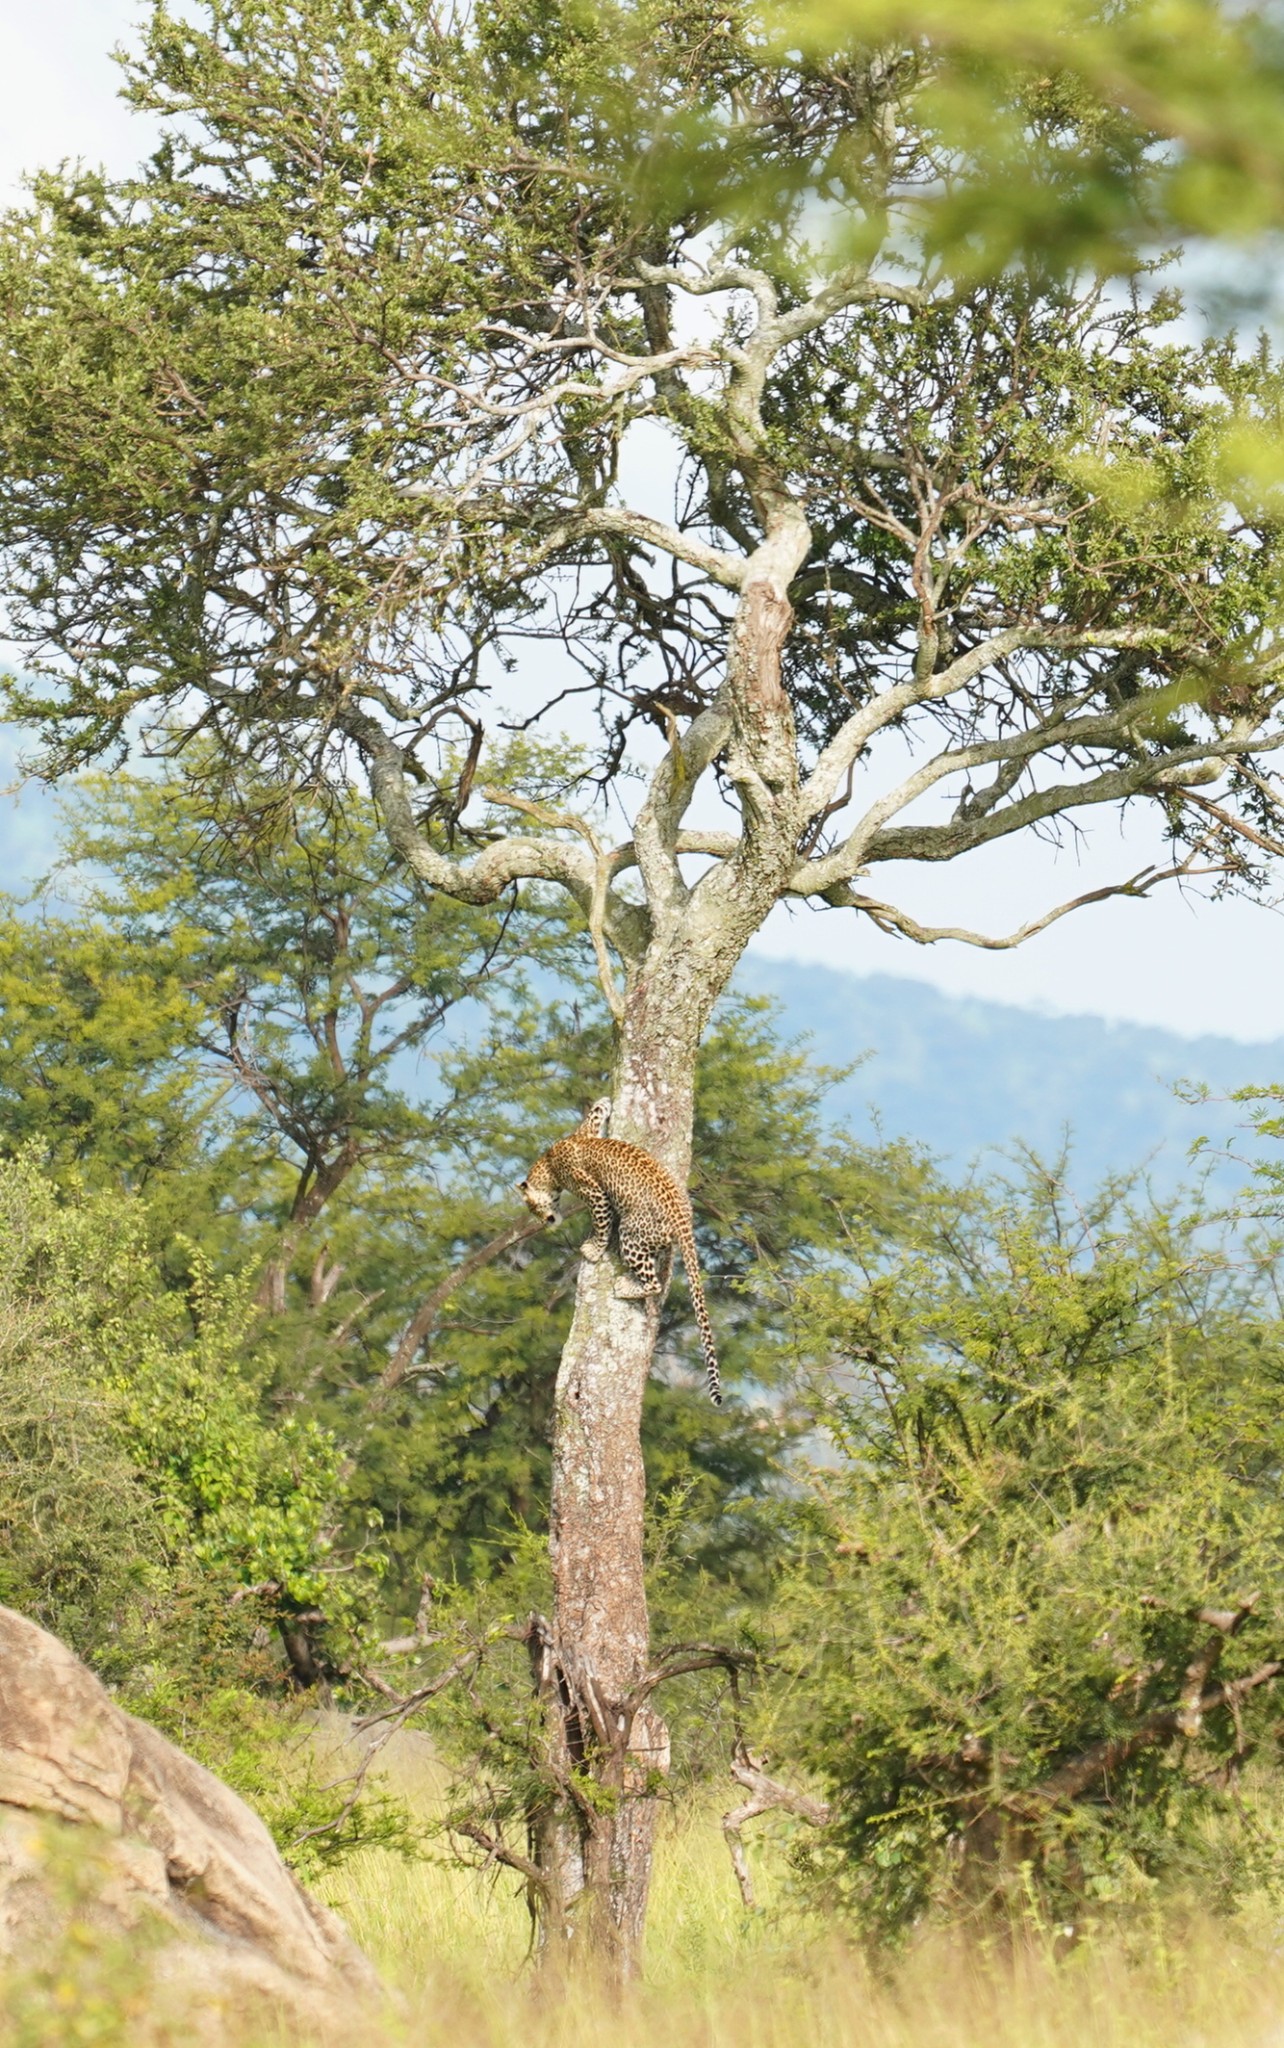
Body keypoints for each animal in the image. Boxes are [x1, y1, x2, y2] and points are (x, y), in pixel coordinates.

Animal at [520, 1105, 724, 1409]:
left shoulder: (594, 1193)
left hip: (631, 1233)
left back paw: (625, 1286)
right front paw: (604, 1104)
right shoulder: (585, 1132)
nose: (546, 1222)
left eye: (532, 1209)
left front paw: (593, 1249)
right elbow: (592, 1119)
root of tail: (683, 1220)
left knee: (654, 1283)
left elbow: (601, 1224)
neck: (549, 1160)